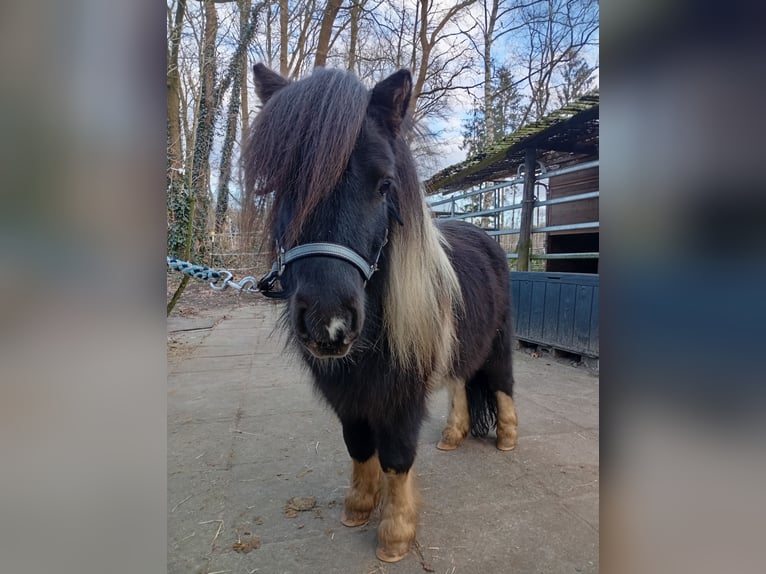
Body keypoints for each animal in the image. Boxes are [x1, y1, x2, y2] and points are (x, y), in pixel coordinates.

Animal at [244, 65, 520, 564]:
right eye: (280, 184)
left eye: (384, 185)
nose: (328, 323)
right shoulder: (345, 393)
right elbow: (358, 445)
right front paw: (358, 507)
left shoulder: (402, 392)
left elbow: (396, 455)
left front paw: (395, 534)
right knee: (460, 384)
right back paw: (452, 436)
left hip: (498, 344)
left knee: (502, 384)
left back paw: (507, 439)